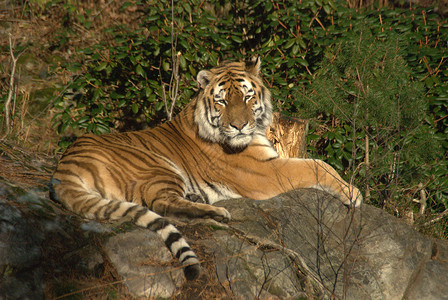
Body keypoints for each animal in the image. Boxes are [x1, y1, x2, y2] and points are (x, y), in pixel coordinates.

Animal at [50, 56, 364, 282]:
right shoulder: (265, 172)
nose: (239, 126)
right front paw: (352, 192)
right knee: (160, 204)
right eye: (222, 100)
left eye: (248, 97)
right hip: (157, 166)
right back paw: (217, 212)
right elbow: (317, 165)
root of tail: (64, 166)